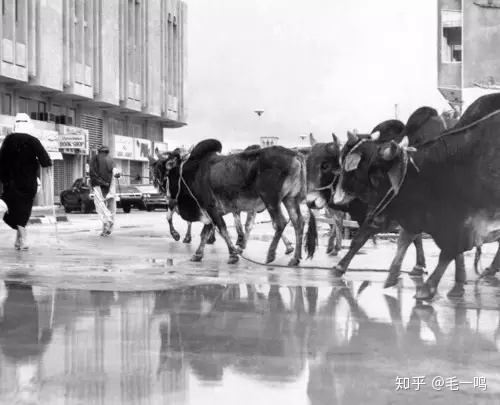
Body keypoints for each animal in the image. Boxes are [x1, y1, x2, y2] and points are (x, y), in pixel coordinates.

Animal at [149, 139, 304, 266]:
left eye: (165, 171)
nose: (161, 191)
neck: (190, 173)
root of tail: (294, 154)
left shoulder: (211, 207)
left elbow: (222, 229)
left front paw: (233, 255)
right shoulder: (207, 210)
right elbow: (204, 233)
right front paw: (198, 254)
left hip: (271, 199)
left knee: (280, 223)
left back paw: (270, 255)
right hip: (290, 198)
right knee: (298, 222)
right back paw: (295, 258)